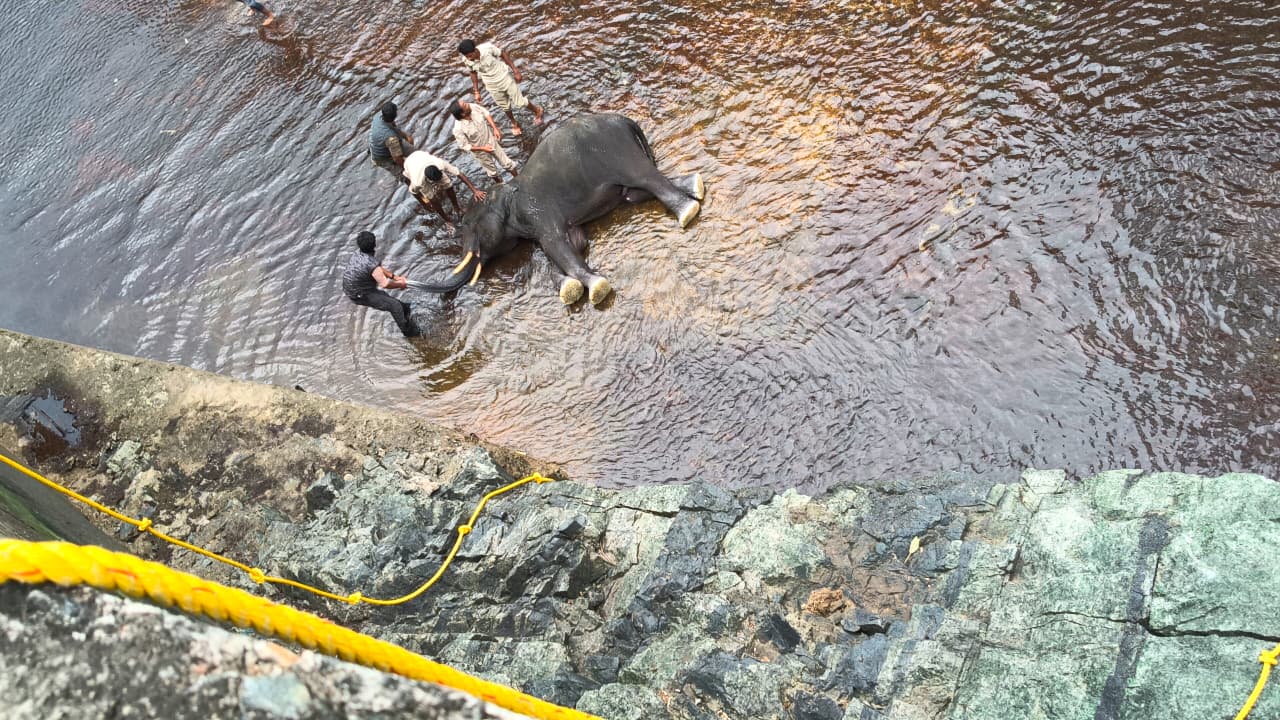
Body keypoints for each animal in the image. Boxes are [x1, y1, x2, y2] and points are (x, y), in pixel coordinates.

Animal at [417, 113, 705, 305]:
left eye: (469, 226)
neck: (507, 192)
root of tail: (624, 120)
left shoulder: (538, 212)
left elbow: (556, 245)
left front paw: (597, 289)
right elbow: (574, 244)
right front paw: (570, 290)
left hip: (619, 153)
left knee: (646, 179)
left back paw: (687, 211)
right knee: (633, 193)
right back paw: (695, 185)